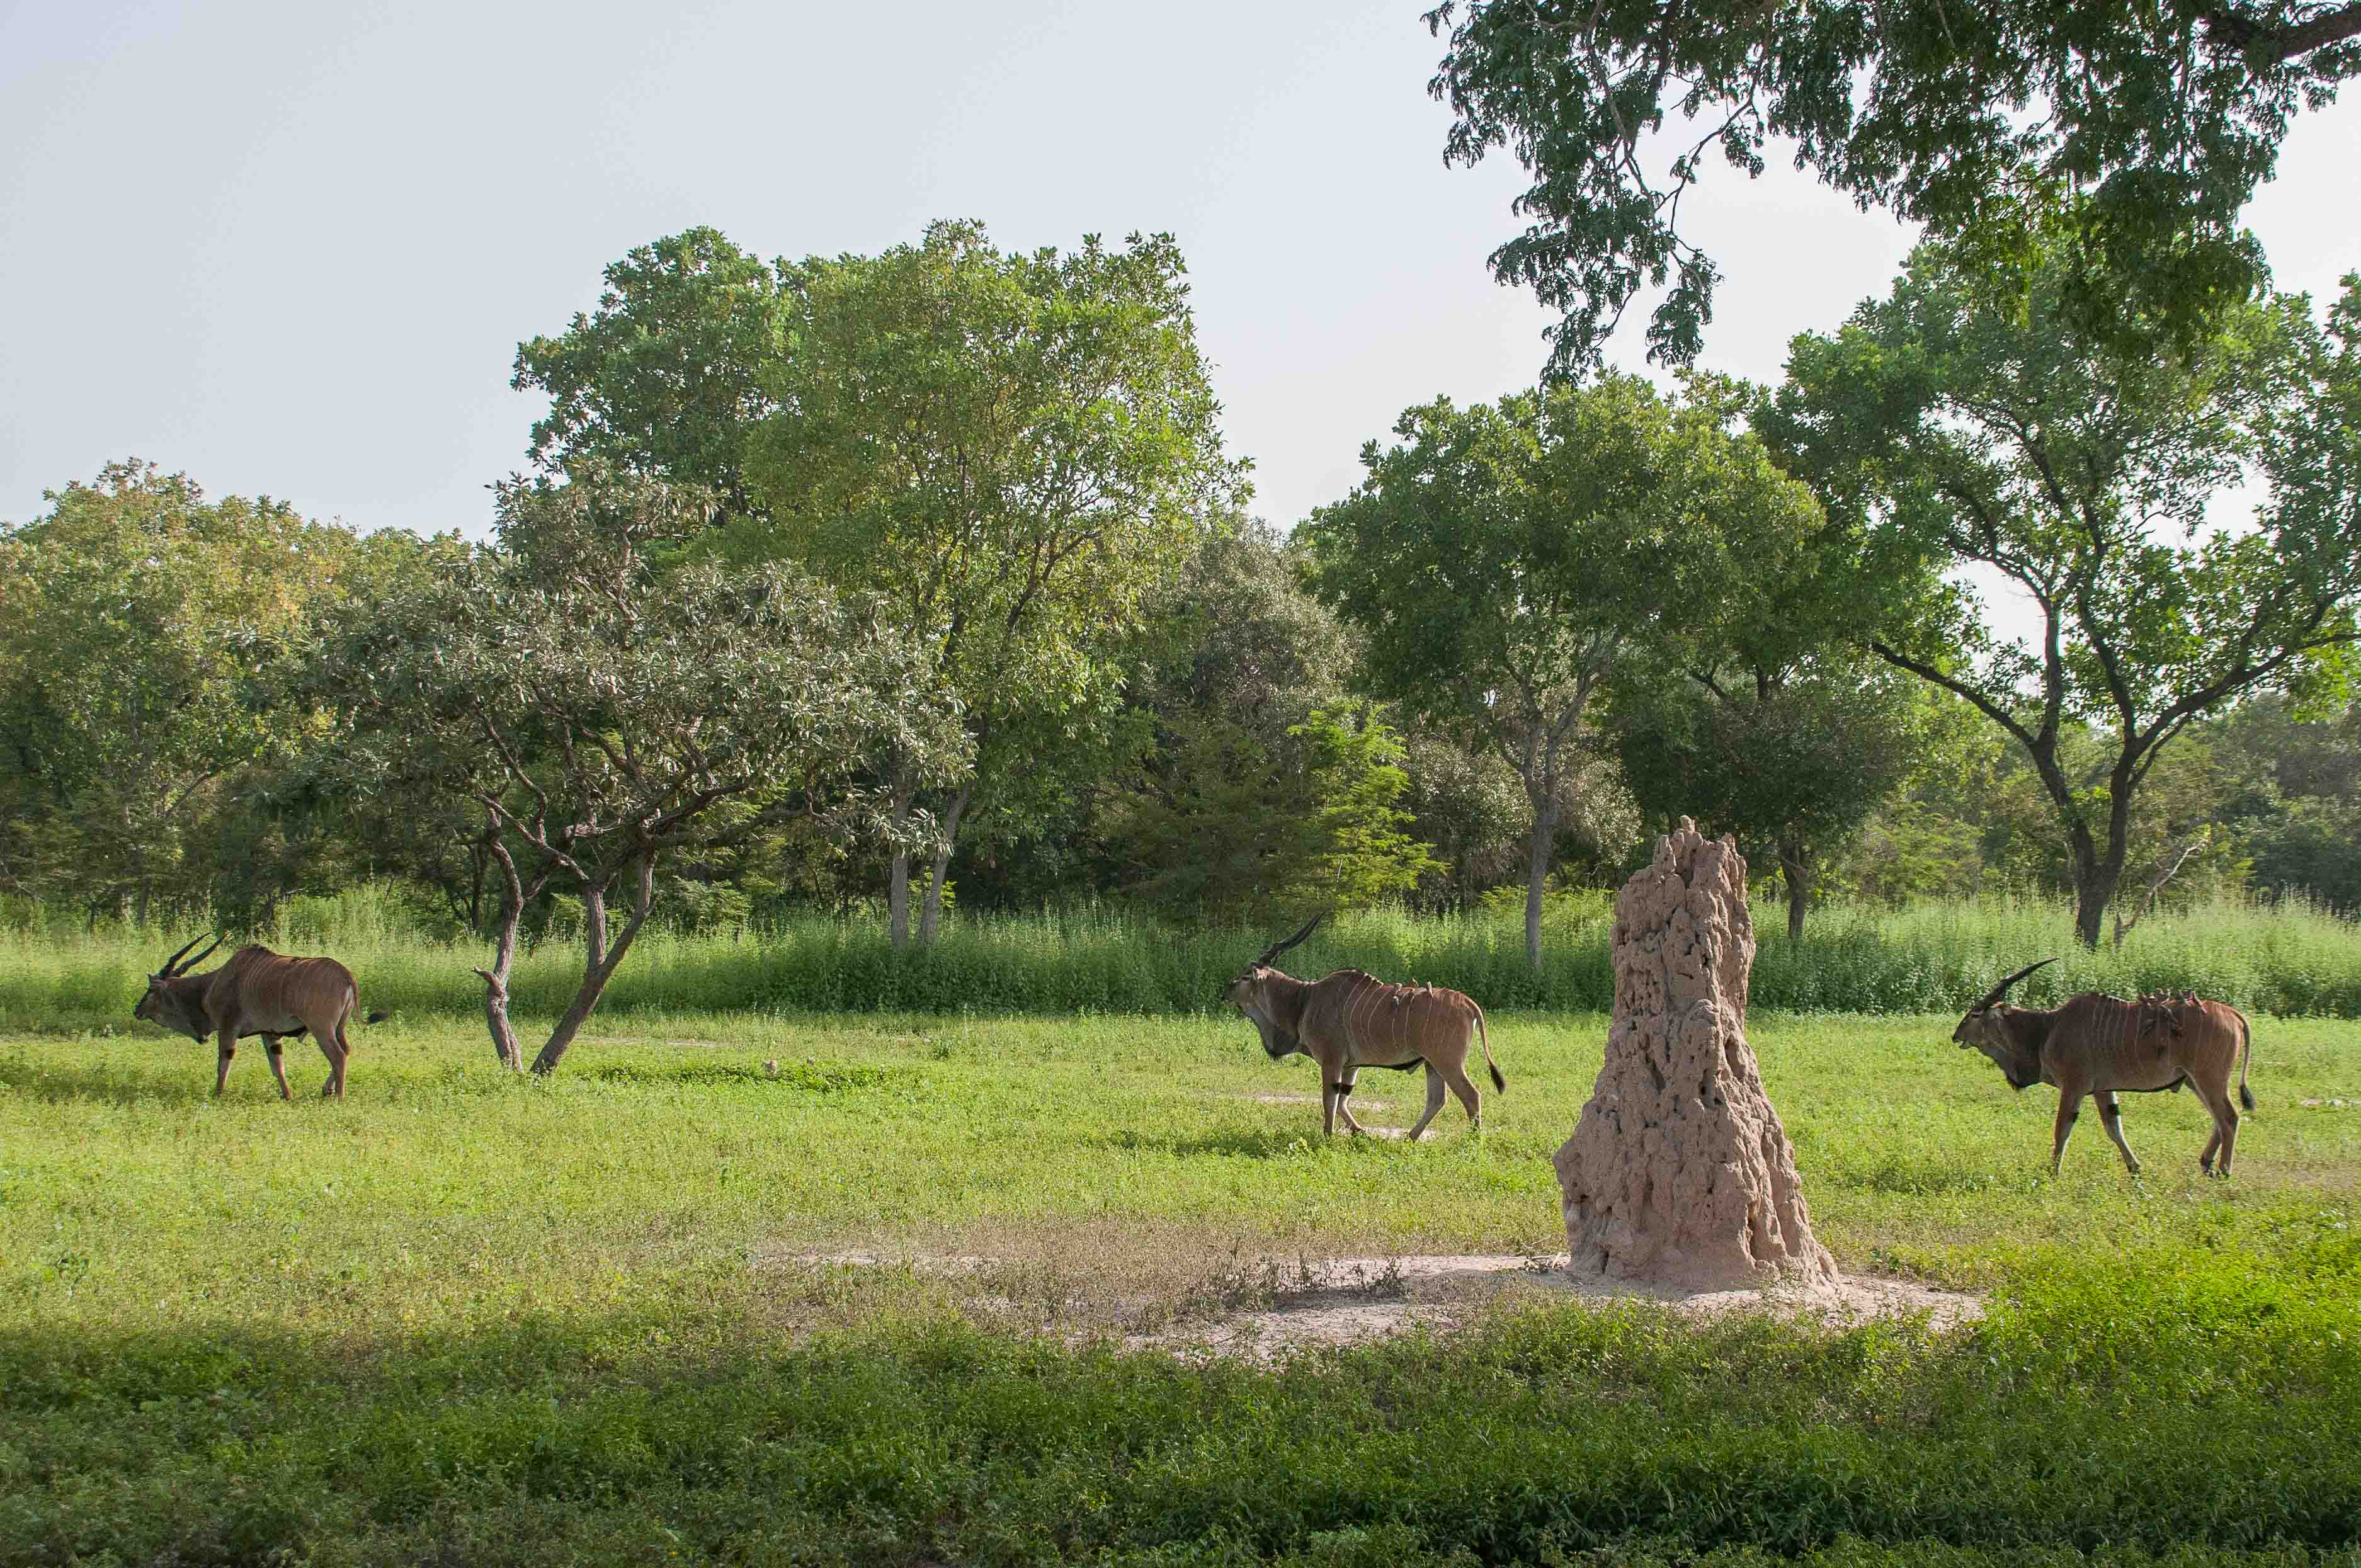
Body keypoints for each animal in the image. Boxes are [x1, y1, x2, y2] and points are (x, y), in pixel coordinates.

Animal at [130, 935, 382, 1096]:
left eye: (150, 990)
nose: (137, 1010)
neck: (210, 986)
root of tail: (346, 974)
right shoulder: (270, 1033)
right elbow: (277, 1066)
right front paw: (287, 1096)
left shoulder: (228, 1028)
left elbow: (223, 1064)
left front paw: (217, 1095)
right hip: (338, 1029)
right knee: (346, 1051)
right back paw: (327, 1089)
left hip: (321, 1029)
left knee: (338, 1056)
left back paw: (339, 1096)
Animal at [1227, 921, 1501, 1138]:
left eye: (1245, 977)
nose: (1226, 990)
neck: (1304, 1000)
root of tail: (1468, 1003)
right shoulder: (1351, 1066)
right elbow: (1342, 1101)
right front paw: (1360, 1132)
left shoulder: (1332, 1060)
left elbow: (1329, 1101)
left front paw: (1327, 1137)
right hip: (1432, 1064)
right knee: (1438, 1099)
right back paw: (1410, 1138)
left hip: (1448, 1063)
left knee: (1471, 1096)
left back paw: (1472, 1142)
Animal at [1945, 954, 2257, 1176]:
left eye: (1975, 1014)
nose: (1955, 1035)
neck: (2048, 1028)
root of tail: (2232, 1013)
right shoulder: (2104, 1090)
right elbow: (2114, 1128)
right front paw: (2135, 1169)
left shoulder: (2074, 1086)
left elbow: (2062, 1128)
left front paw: (2053, 1172)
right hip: (2193, 1080)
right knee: (2218, 1118)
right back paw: (2206, 1163)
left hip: (2208, 1078)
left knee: (2229, 1116)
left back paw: (2224, 1171)